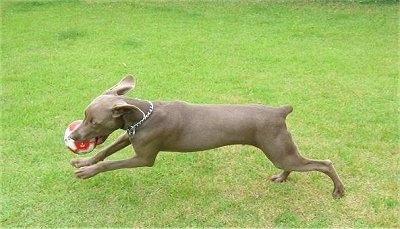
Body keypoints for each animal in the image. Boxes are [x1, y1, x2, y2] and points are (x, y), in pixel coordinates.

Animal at [69, 75, 344, 199]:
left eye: (94, 122)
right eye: (84, 115)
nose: (73, 135)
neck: (143, 115)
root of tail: (280, 111)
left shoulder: (144, 157)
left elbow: (111, 163)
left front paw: (86, 171)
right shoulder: (130, 136)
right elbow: (106, 151)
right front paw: (83, 161)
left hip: (278, 150)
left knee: (324, 164)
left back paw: (338, 191)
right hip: (280, 149)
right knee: (293, 164)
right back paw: (282, 178)